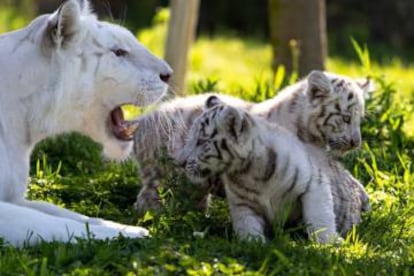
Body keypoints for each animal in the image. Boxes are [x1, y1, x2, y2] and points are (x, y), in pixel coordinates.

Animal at [0, 0, 171, 246]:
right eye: (119, 52)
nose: (169, 74)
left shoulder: (15, 197)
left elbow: (62, 211)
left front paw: (120, 226)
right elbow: (47, 222)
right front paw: (131, 234)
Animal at [133, 70, 372, 221]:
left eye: (360, 119)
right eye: (345, 117)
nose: (356, 142)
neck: (312, 137)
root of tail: (141, 120)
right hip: (158, 173)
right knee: (145, 199)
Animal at [180, 96, 368, 242]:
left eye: (202, 142)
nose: (180, 162)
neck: (248, 171)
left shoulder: (313, 185)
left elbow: (320, 218)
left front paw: (329, 245)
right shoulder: (242, 204)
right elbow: (247, 226)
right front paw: (254, 244)